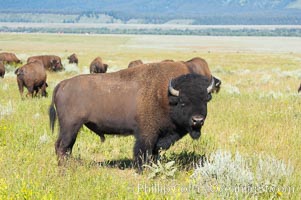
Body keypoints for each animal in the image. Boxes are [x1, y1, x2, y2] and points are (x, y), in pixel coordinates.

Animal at [48, 62, 213, 170]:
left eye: (205, 100)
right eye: (183, 102)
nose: (197, 120)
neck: (165, 95)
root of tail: (61, 85)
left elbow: (154, 152)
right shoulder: (147, 134)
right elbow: (143, 151)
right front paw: (142, 169)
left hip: (70, 128)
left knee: (65, 146)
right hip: (70, 127)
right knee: (62, 146)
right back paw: (65, 167)